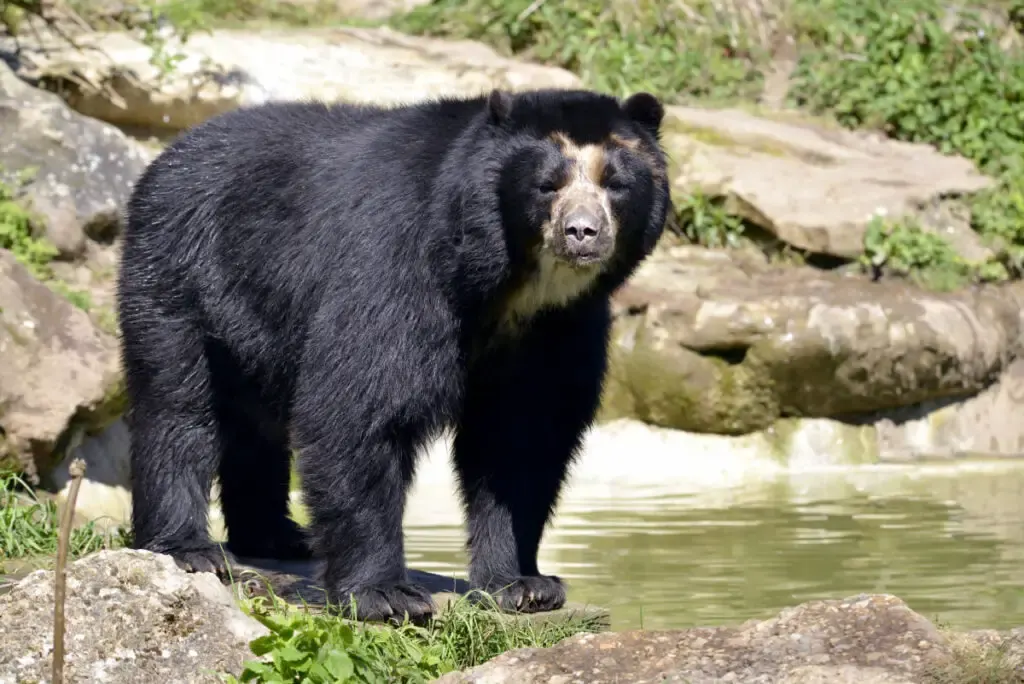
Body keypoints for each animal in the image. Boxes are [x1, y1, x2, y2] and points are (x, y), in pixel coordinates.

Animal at [117, 83, 671, 618]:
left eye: (615, 183)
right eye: (547, 184)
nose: (582, 232)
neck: (511, 285)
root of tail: (170, 153)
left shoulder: (558, 327)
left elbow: (523, 437)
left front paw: (524, 585)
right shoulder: (398, 265)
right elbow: (361, 408)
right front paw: (385, 595)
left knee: (255, 424)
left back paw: (279, 538)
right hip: (182, 271)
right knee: (178, 406)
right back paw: (190, 548)